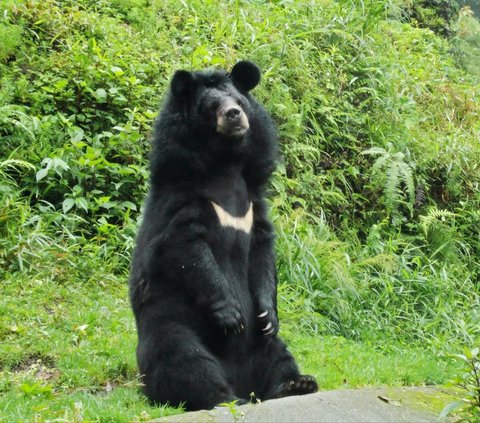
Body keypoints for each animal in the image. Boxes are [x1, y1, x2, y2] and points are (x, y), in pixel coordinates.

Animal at [129, 61, 316, 412]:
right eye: (211, 106)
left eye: (239, 102)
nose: (233, 115)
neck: (225, 164)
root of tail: (242, 380)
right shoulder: (181, 201)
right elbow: (188, 250)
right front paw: (231, 316)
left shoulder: (254, 206)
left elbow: (262, 254)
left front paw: (267, 314)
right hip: (172, 323)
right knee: (184, 360)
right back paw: (223, 397)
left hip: (264, 347)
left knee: (278, 354)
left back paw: (296, 384)